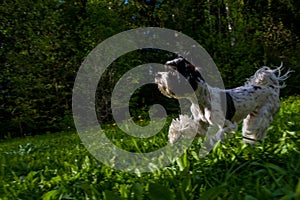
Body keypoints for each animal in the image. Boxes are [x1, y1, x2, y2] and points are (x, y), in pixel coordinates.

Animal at [156, 56, 292, 145]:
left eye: (172, 72)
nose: (157, 74)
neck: (201, 100)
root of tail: (271, 88)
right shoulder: (201, 126)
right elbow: (186, 127)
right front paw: (174, 136)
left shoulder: (228, 125)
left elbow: (218, 134)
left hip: (261, 115)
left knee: (258, 129)